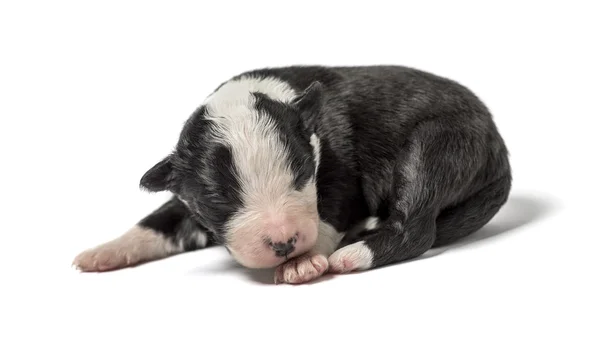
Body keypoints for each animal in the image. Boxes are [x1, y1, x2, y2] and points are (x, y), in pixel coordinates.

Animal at [70, 64, 510, 284]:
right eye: (218, 198)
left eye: (300, 174)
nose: (284, 244)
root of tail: (499, 148)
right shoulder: (186, 200)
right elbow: (156, 223)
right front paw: (103, 252)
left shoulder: (340, 171)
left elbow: (330, 214)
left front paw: (305, 261)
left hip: (438, 145)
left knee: (416, 226)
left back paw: (352, 253)